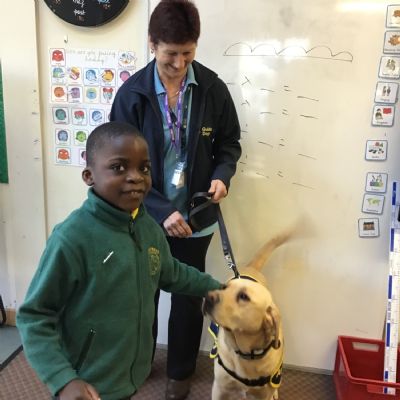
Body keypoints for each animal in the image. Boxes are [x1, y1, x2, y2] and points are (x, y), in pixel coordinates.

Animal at [203, 233, 288, 400]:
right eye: (223, 287)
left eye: (243, 296)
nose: (208, 296)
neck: (246, 353)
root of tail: (251, 267)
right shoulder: (219, 388)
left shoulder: (263, 395)